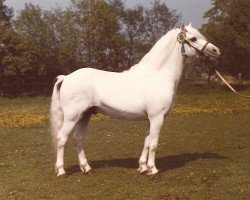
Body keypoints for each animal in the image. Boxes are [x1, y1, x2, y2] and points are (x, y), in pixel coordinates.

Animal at [49, 23, 220, 177]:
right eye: (193, 38)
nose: (216, 51)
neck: (159, 76)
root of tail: (67, 77)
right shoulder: (157, 117)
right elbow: (154, 143)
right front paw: (153, 169)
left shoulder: (150, 119)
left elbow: (147, 141)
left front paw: (143, 167)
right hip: (72, 117)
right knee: (62, 138)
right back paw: (61, 171)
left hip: (85, 115)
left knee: (79, 139)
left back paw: (86, 168)